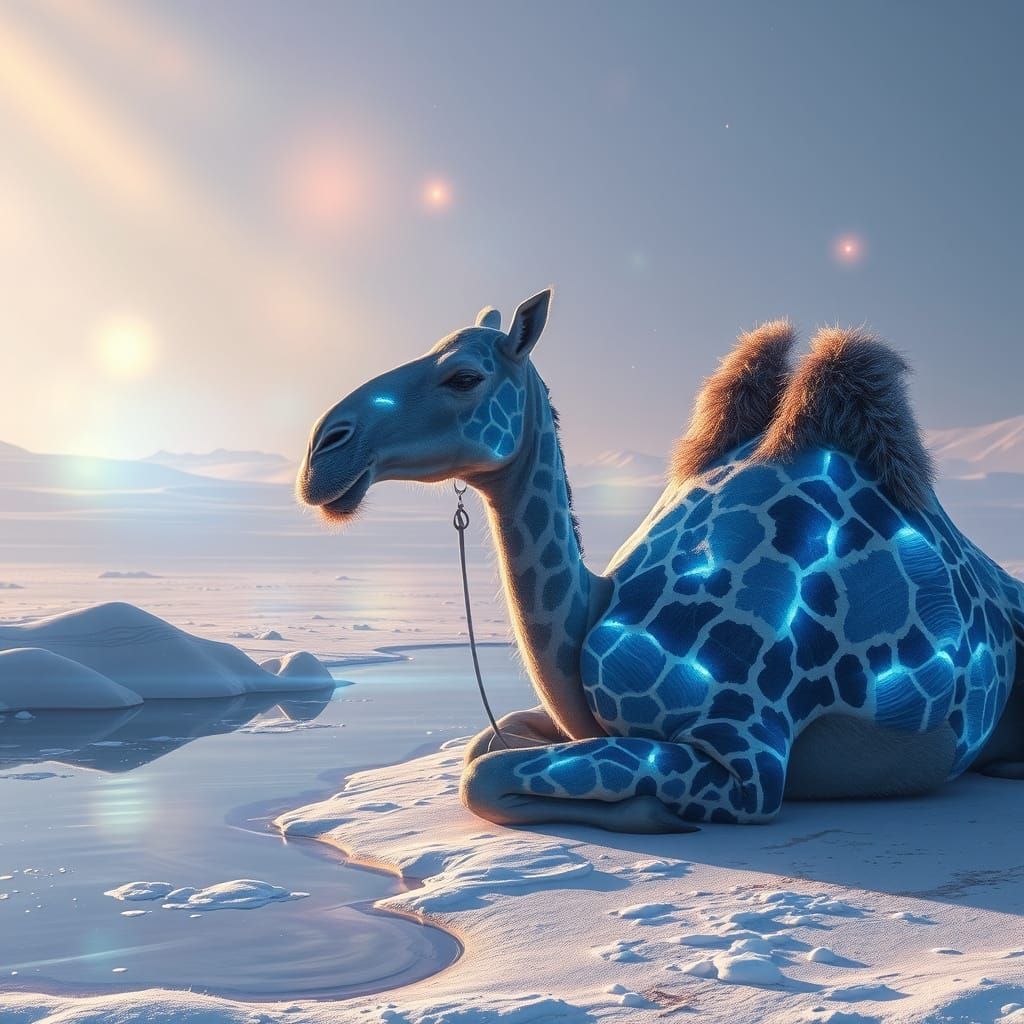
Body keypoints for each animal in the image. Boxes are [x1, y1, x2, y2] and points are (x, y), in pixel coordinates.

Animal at [297, 289, 1024, 833]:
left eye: (464, 376)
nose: (323, 451)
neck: (592, 614)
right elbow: (482, 751)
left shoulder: (750, 762)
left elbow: (485, 774)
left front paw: (655, 812)